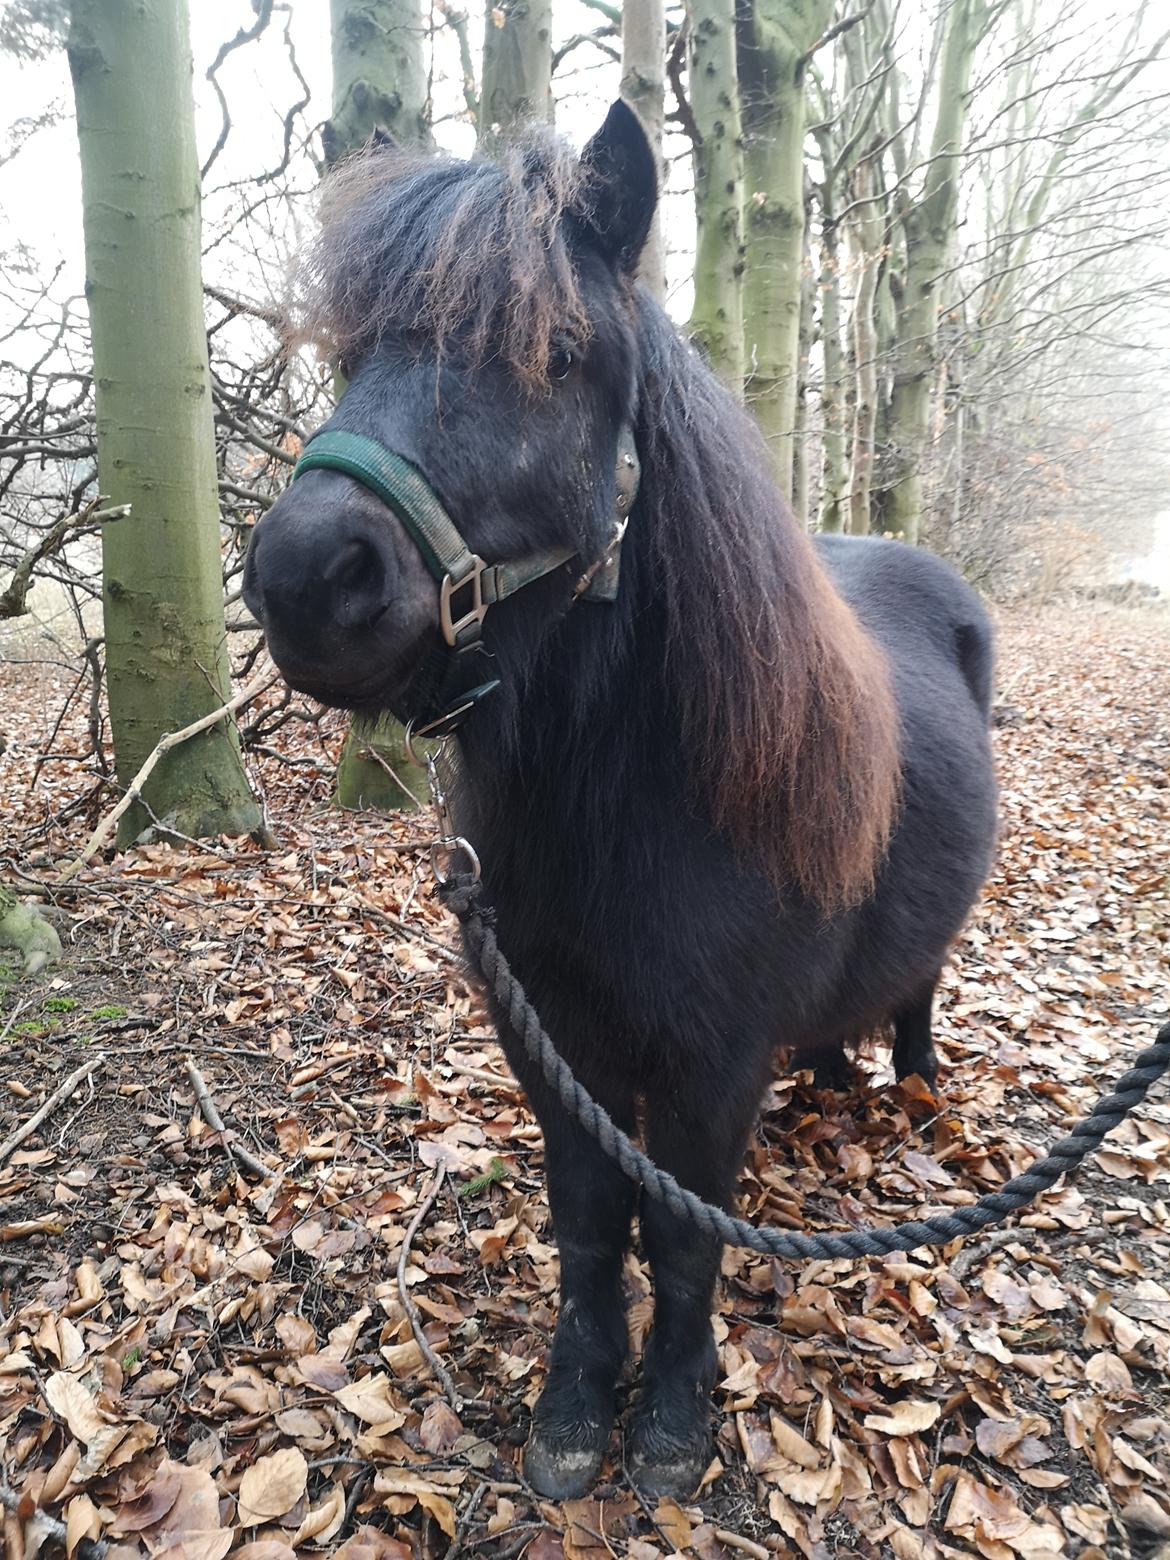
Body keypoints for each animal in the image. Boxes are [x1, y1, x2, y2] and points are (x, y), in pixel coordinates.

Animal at [244, 106, 998, 1497]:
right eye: (357, 349)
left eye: (556, 352)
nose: (308, 576)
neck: (628, 807)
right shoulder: (555, 1046)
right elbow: (595, 1221)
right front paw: (575, 1407)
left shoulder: (709, 1062)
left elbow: (684, 1236)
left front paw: (674, 1419)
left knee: (918, 993)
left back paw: (916, 1091)